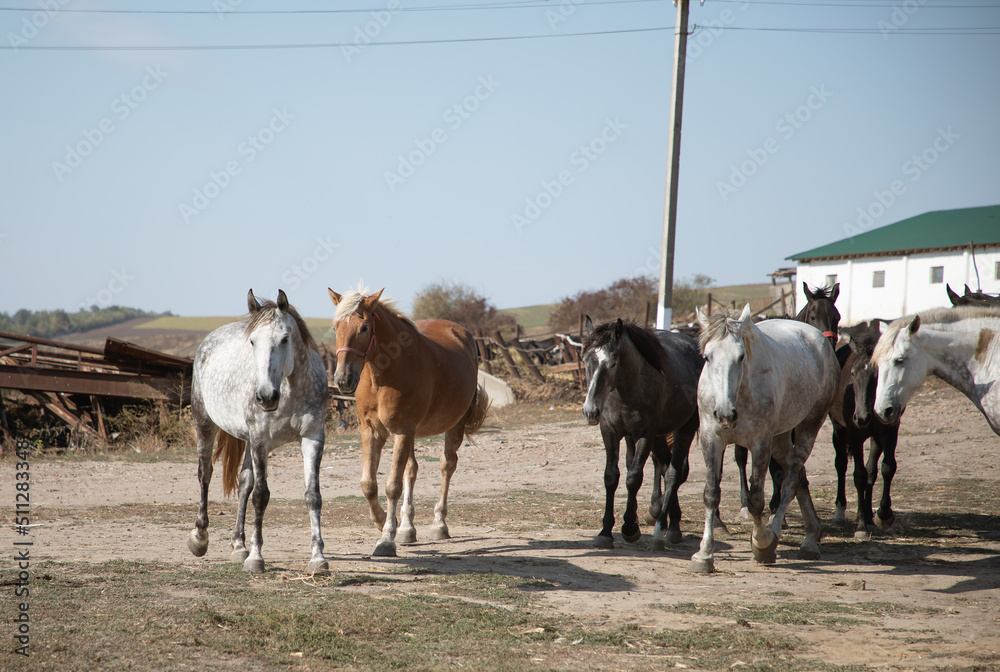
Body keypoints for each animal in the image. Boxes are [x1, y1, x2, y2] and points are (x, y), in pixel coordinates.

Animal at [187, 289, 330, 574]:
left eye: (285, 339)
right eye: (252, 342)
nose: (266, 396)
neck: (289, 389)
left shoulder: (312, 438)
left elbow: (313, 496)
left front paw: (318, 558)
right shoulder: (261, 441)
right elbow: (261, 496)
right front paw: (256, 558)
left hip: (247, 441)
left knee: (244, 482)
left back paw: (239, 545)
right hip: (205, 423)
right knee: (205, 473)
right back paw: (200, 538)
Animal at [328, 286, 490, 557]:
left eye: (364, 328)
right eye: (335, 326)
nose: (343, 380)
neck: (384, 373)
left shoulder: (403, 430)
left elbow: (392, 486)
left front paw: (386, 538)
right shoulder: (372, 431)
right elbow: (369, 484)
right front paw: (384, 521)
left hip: (452, 426)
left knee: (447, 466)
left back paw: (439, 523)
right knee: (411, 471)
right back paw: (407, 528)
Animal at [581, 317, 704, 551]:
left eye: (613, 363)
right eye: (586, 362)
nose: (590, 411)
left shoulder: (646, 434)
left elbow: (633, 478)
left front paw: (630, 527)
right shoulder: (610, 431)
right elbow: (611, 476)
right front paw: (605, 532)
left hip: (684, 429)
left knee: (674, 473)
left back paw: (664, 529)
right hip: (659, 437)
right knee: (663, 466)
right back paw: (667, 520)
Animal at [689, 304, 840, 573]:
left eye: (740, 357)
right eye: (707, 357)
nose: (725, 414)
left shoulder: (759, 443)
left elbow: (756, 499)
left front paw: (761, 543)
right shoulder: (710, 439)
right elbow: (711, 494)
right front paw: (704, 555)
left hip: (808, 425)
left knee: (791, 477)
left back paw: (778, 534)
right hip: (779, 438)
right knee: (798, 474)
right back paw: (811, 537)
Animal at [830, 320, 901, 539]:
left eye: (877, 376)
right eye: (852, 373)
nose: (861, 417)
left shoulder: (890, 430)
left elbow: (886, 468)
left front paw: (883, 514)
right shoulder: (854, 434)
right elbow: (859, 475)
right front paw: (861, 526)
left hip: (875, 437)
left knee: (872, 470)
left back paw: (870, 516)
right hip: (839, 430)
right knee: (841, 465)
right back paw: (840, 514)